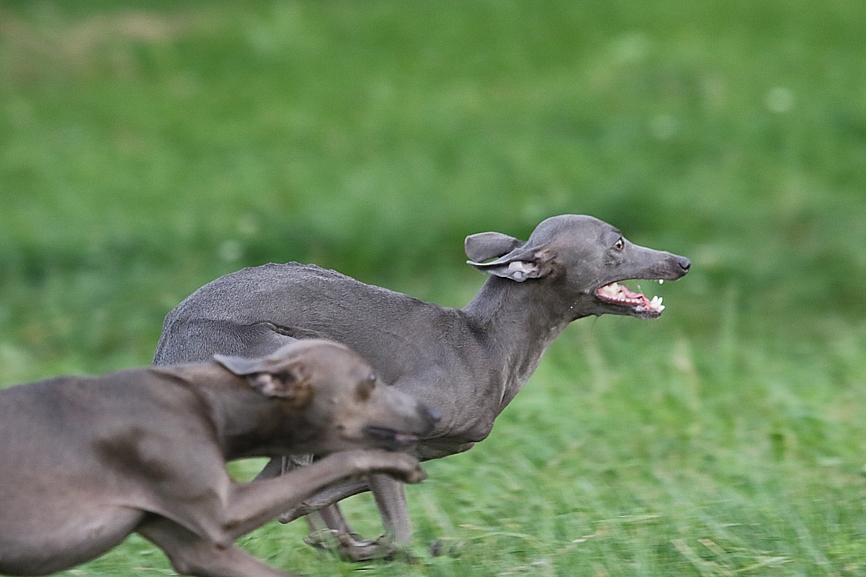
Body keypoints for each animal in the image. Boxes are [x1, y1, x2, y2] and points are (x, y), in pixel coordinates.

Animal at [0, 340, 436, 576]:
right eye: (371, 380)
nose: (432, 413)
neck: (212, 402)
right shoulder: (224, 512)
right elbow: (338, 463)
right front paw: (396, 465)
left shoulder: (194, 546)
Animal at [150, 215, 688, 560]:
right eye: (617, 244)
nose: (681, 261)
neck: (484, 344)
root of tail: (170, 338)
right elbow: (390, 525)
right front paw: (360, 542)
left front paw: (342, 541)